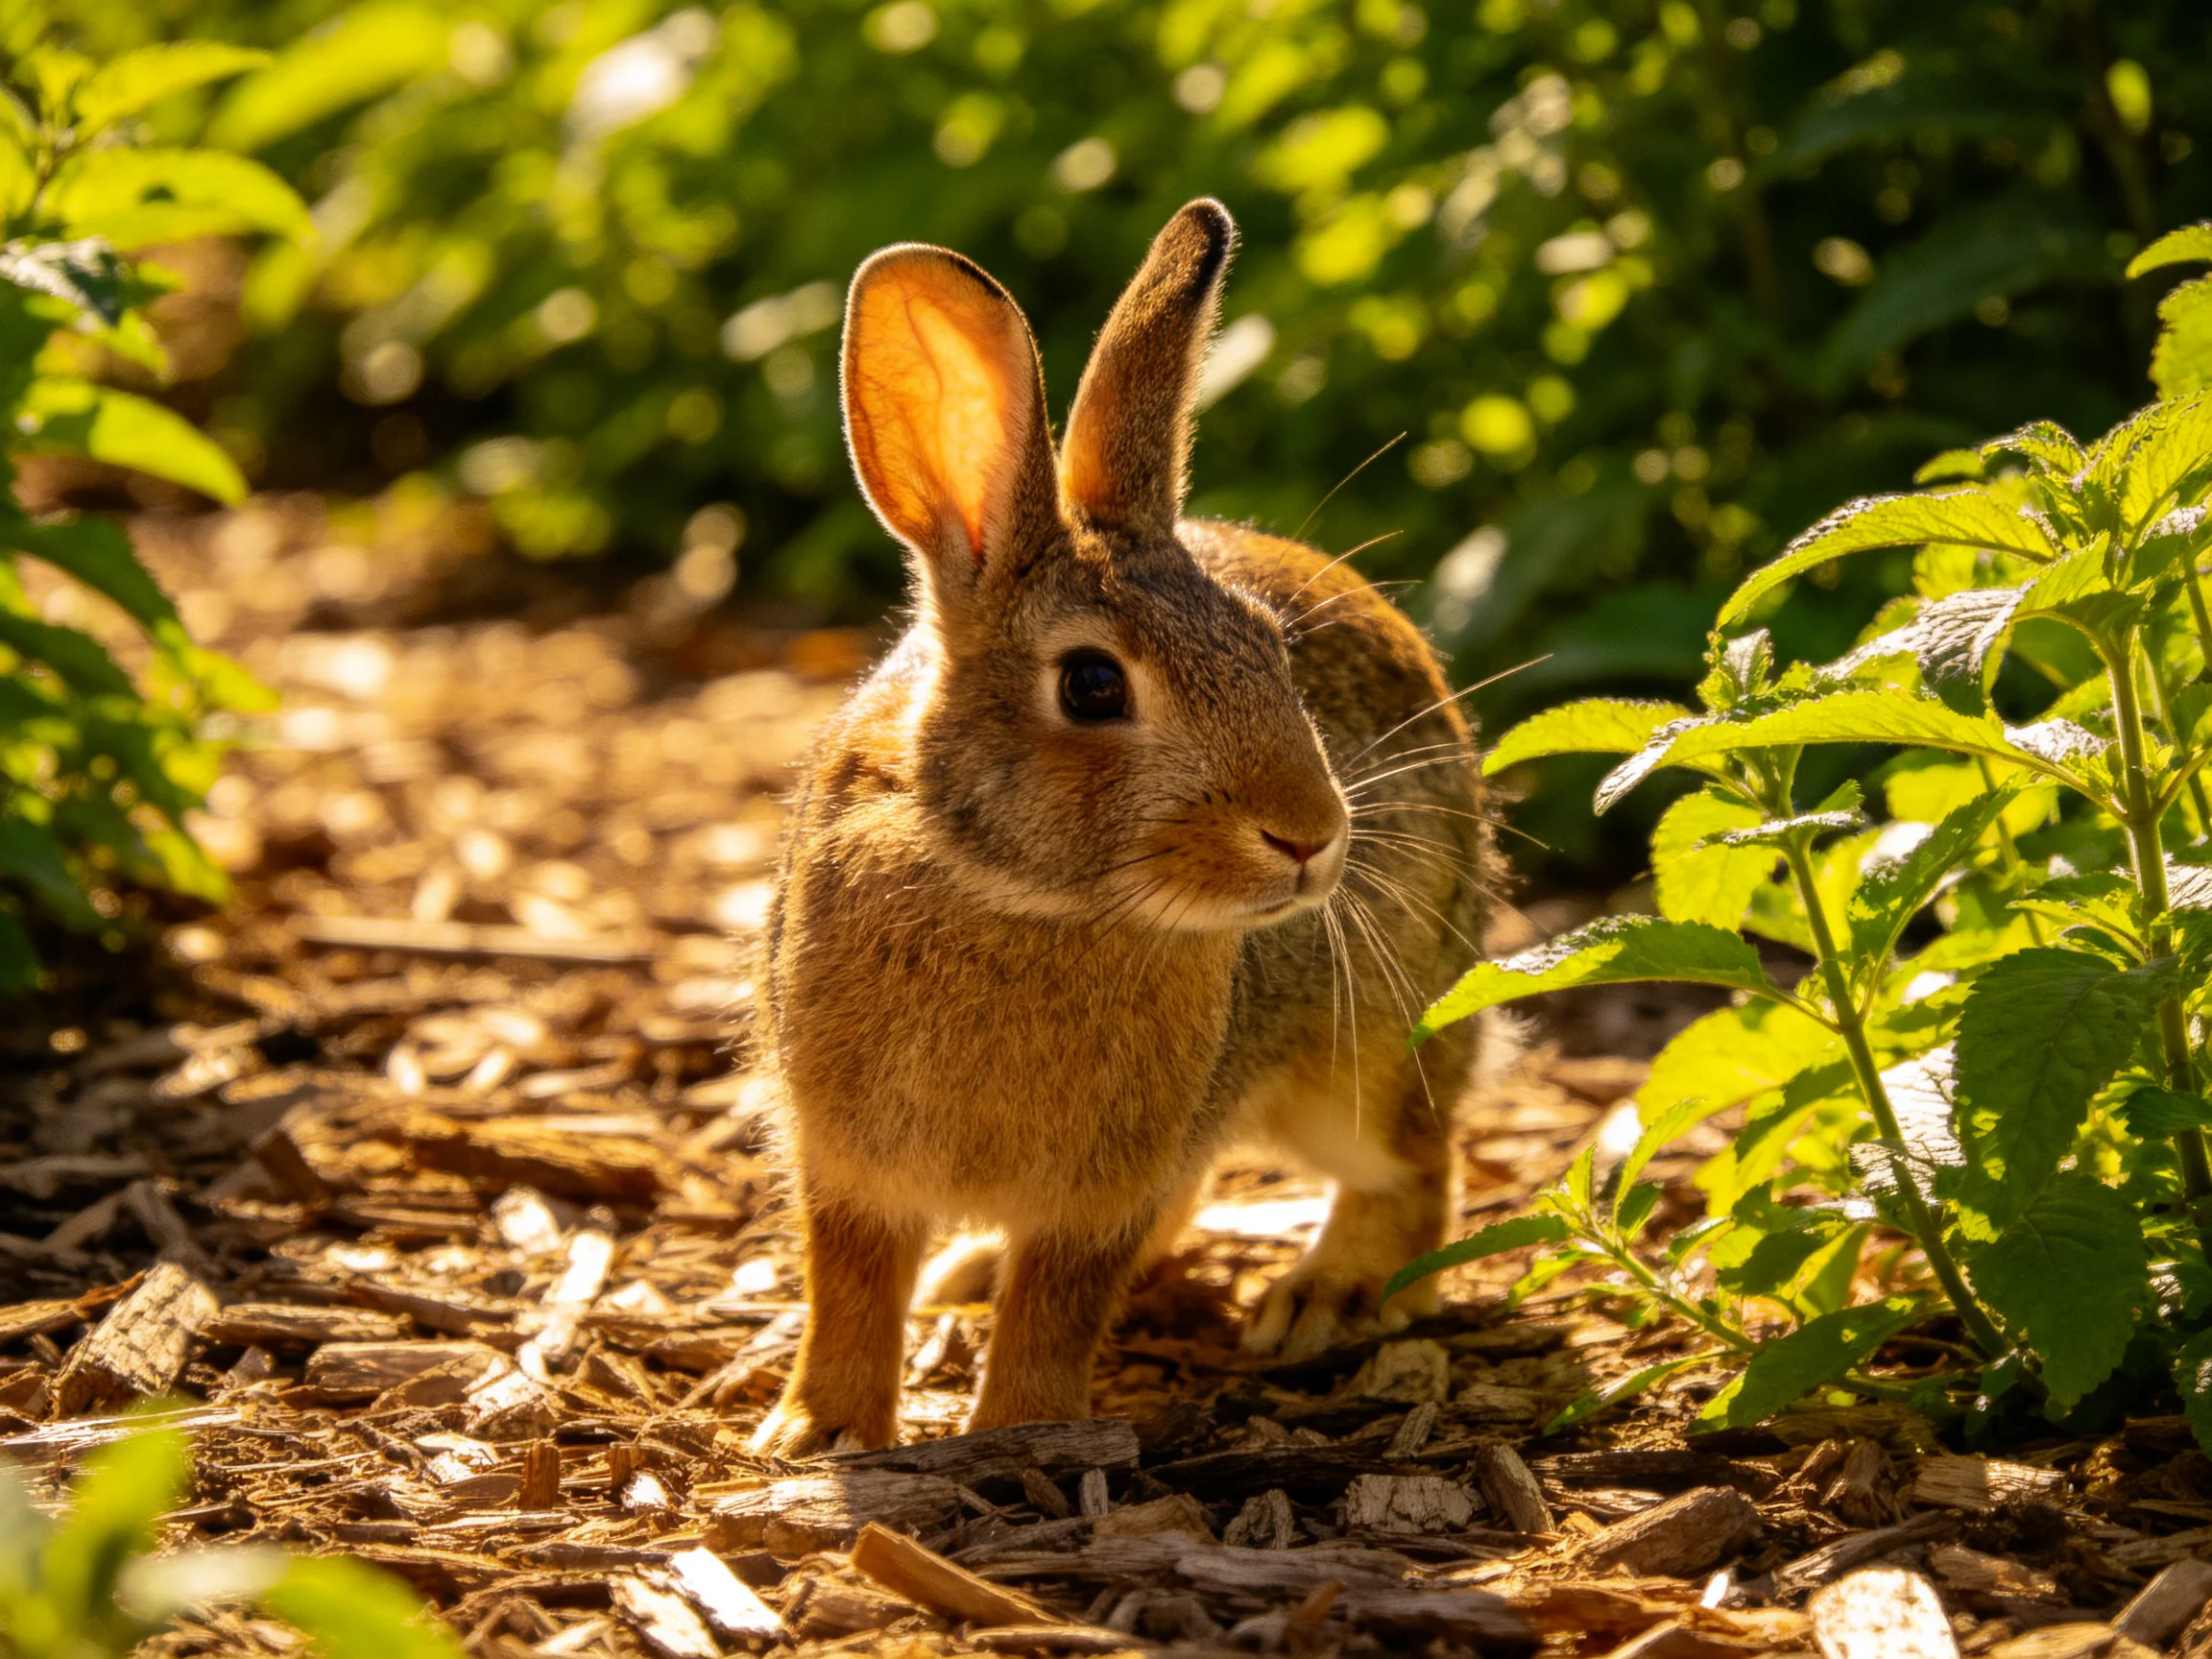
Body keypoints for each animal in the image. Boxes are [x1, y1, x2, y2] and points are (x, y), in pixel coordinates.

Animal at [751, 198, 1494, 1457]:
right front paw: (817, 1436)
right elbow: (847, 1284)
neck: (1009, 886)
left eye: (1271, 648)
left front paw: (1018, 1433)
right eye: (1093, 686)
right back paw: (967, 1271)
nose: (1312, 837)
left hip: (1370, 1043)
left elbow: (1060, 1304)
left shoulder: (1102, 1188)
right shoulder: (846, 1160)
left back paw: (1326, 1297)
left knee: (1414, 1162)